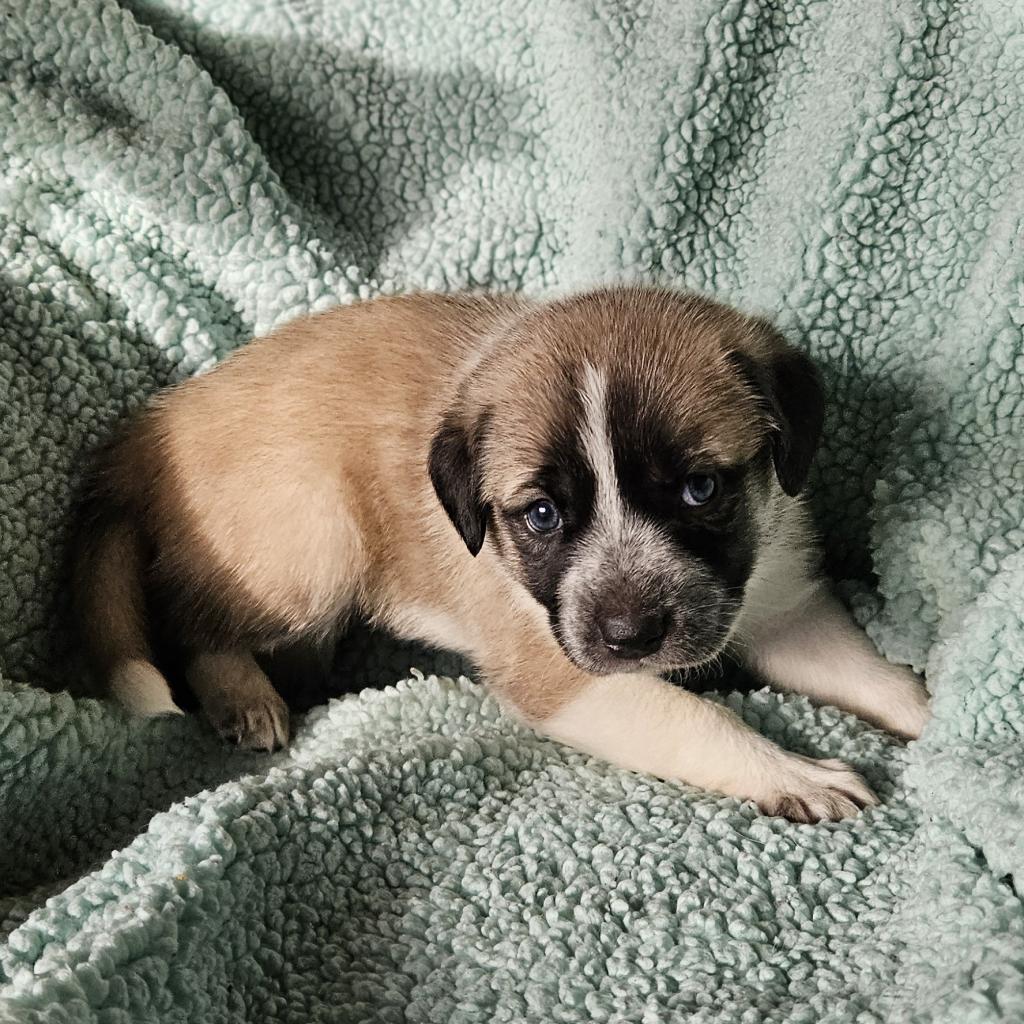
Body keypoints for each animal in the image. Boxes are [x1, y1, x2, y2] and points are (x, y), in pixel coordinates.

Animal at [75, 288, 933, 823]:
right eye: (543, 516)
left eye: (700, 489)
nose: (630, 637)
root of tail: (154, 425)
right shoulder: (564, 671)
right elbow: (696, 718)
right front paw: (789, 772)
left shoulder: (782, 603)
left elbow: (873, 675)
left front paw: (937, 713)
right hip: (313, 538)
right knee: (192, 624)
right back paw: (245, 698)